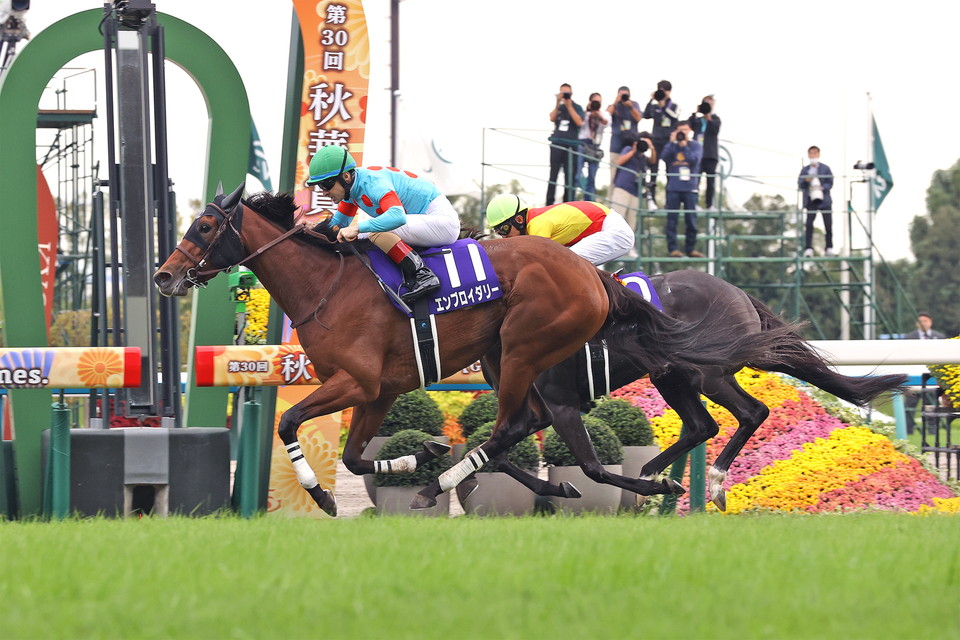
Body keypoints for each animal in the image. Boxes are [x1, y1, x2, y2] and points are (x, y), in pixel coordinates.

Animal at [154, 186, 800, 514]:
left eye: (205, 228)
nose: (163, 276)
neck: (328, 286)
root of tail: (596, 282)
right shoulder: (378, 391)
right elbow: (359, 458)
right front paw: (414, 457)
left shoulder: (357, 383)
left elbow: (290, 421)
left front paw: (323, 495)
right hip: (532, 361)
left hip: (529, 351)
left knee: (519, 428)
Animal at [459, 270, 907, 511]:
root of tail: (738, 293)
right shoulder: (533, 409)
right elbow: (493, 454)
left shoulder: (561, 405)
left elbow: (591, 467)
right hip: (674, 374)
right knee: (702, 426)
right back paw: (657, 474)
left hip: (705, 373)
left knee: (750, 413)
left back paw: (713, 482)